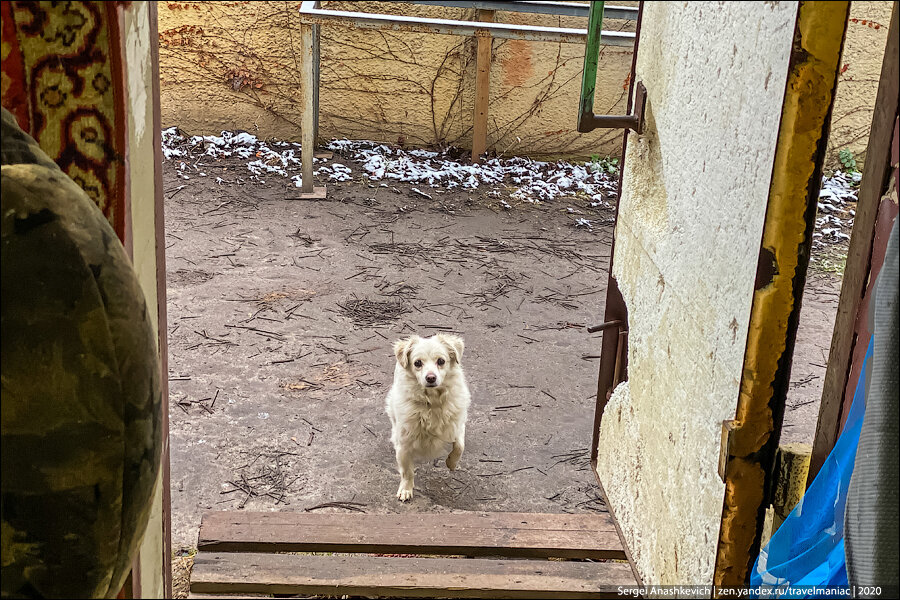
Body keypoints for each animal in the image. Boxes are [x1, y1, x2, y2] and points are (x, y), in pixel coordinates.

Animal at [384, 332, 472, 502]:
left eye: (441, 361)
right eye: (417, 363)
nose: (431, 377)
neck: (432, 402)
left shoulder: (457, 425)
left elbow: (460, 446)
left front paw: (451, 463)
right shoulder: (404, 444)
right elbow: (407, 471)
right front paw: (406, 489)